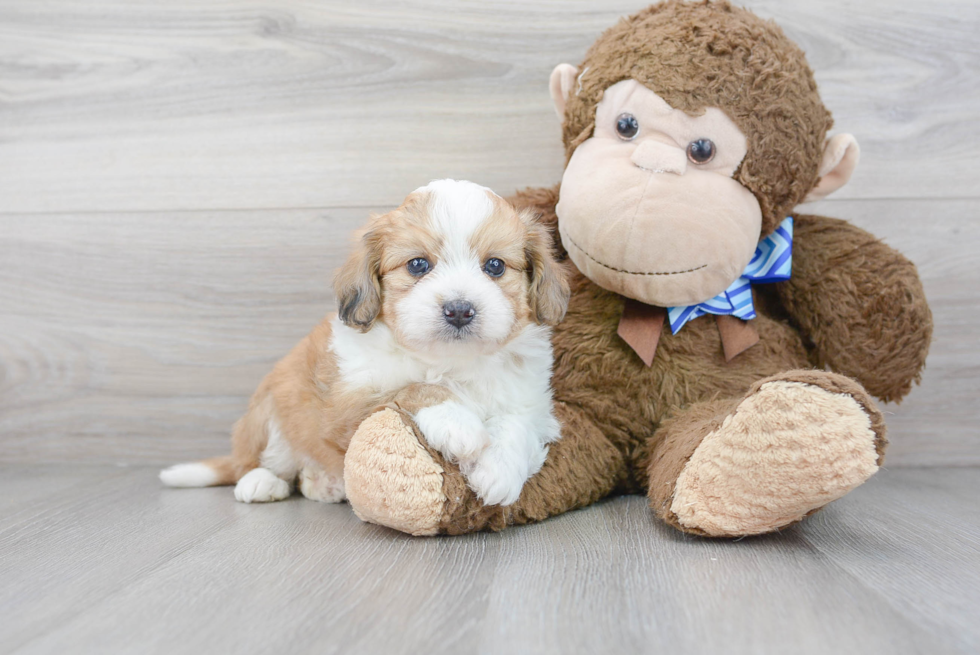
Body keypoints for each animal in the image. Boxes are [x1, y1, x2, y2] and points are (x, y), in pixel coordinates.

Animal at [160, 179, 572, 508]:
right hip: (270, 416)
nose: (459, 309)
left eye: (495, 266)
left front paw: (499, 470)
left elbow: (518, 423)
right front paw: (458, 422)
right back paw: (262, 482)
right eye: (418, 265)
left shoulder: (532, 400)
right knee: (258, 462)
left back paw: (323, 484)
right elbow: (412, 387)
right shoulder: (346, 403)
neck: (451, 361)